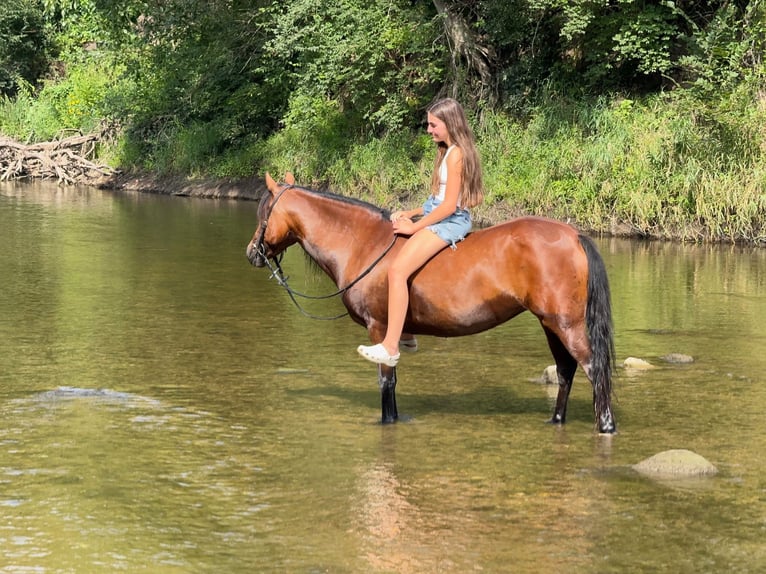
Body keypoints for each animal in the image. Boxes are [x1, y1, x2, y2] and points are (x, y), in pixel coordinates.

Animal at [249, 173, 620, 434]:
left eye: (263, 212)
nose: (252, 252)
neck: (364, 244)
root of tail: (573, 235)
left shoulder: (379, 328)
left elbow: (385, 381)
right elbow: (394, 381)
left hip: (566, 324)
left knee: (593, 368)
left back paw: (605, 425)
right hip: (550, 323)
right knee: (565, 370)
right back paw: (556, 420)